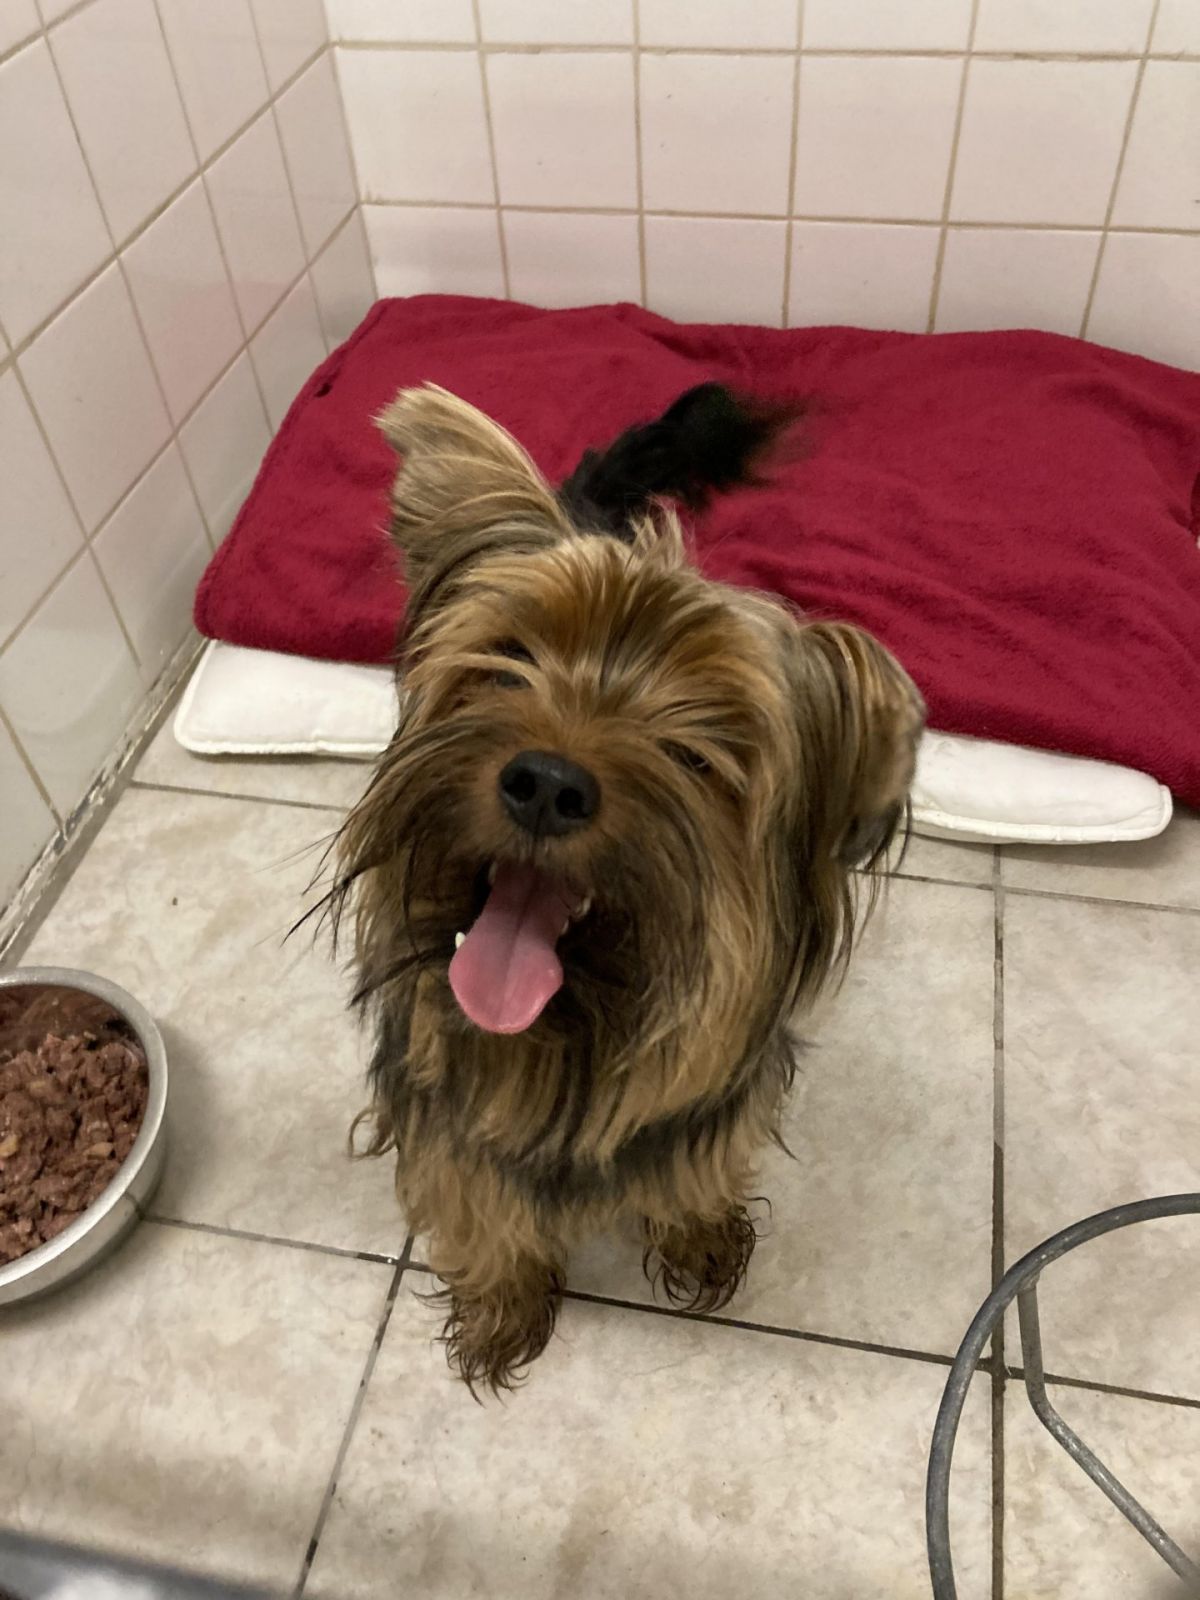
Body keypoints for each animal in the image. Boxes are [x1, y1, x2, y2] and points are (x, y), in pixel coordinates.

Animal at [328, 381, 924, 1394]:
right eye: (508, 662)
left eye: (697, 753)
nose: (546, 783)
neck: (557, 1039)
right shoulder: (450, 1129)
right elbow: (477, 1201)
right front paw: (501, 1303)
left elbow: (696, 1176)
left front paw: (698, 1237)